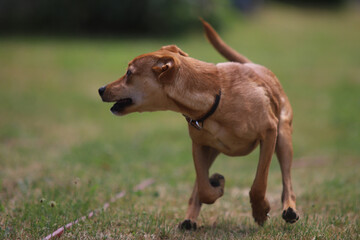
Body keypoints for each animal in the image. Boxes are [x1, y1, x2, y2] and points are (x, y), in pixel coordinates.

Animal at [98, 19, 298, 230]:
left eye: (129, 73)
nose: (101, 89)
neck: (216, 95)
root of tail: (254, 65)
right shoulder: (199, 146)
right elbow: (203, 189)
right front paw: (217, 185)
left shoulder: (269, 133)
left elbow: (259, 183)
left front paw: (260, 211)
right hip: (213, 150)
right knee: (196, 190)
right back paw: (190, 219)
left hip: (283, 139)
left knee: (287, 182)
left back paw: (289, 209)